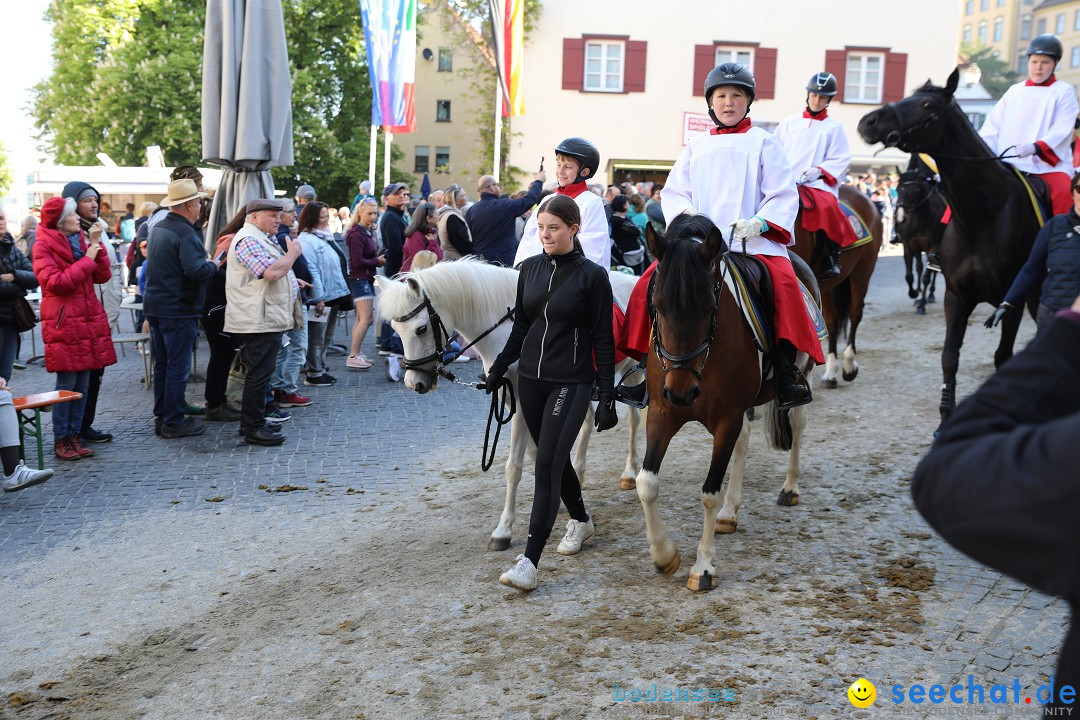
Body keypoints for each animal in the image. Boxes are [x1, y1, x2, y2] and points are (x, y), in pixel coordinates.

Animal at [378, 262, 639, 548]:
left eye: (421, 329)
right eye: (396, 330)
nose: (414, 383)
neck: (505, 331)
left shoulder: (522, 404)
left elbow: (513, 466)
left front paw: (503, 530)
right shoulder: (510, 398)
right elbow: (538, 454)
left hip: (634, 372)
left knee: (634, 421)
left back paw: (630, 474)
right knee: (588, 421)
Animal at [630, 212, 816, 591]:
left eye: (709, 307)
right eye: (656, 305)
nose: (682, 392)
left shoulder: (726, 417)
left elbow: (709, 493)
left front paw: (703, 567)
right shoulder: (661, 413)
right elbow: (647, 484)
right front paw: (664, 554)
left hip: (801, 374)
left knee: (798, 425)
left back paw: (790, 487)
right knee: (743, 442)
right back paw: (730, 512)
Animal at [790, 184, 881, 388]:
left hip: (862, 272)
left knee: (855, 312)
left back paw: (849, 366)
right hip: (828, 286)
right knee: (832, 322)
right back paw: (831, 372)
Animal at [894, 155, 946, 315]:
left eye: (914, 191)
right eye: (897, 189)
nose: (900, 217)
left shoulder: (932, 247)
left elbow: (926, 277)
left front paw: (922, 305)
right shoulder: (908, 247)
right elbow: (909, 275)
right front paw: (914, 293)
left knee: (933, 271)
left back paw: (930, 295)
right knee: (918, 267)